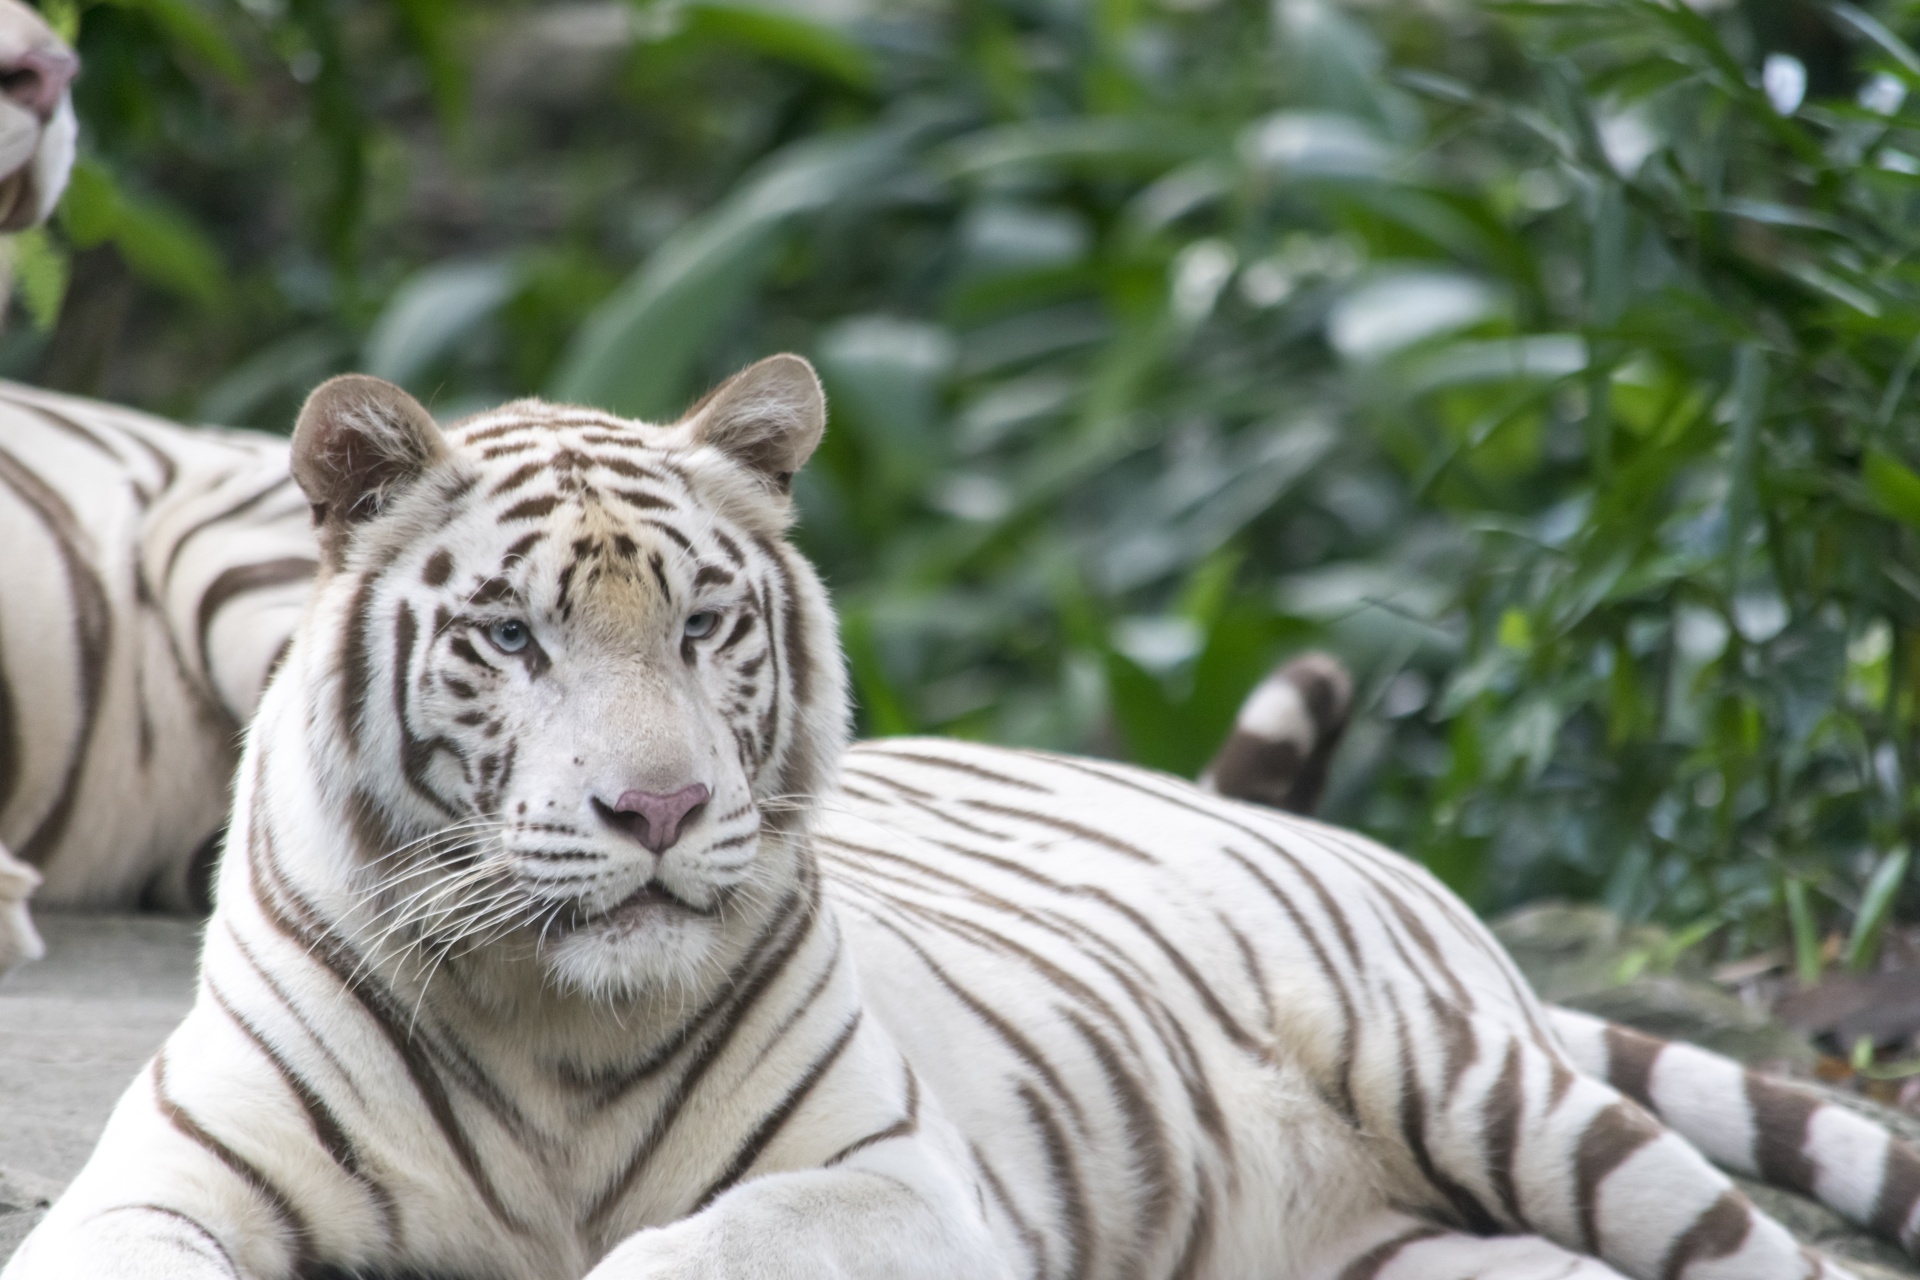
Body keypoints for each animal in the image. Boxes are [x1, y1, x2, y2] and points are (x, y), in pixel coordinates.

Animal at [7, 353, 1912, 1280]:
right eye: (511, 635)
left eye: (703, 624)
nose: (659, 805)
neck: (547, 1014)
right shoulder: (164, 1181)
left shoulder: (895, 1186)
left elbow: (691, 1255)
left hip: (1490, 1091)